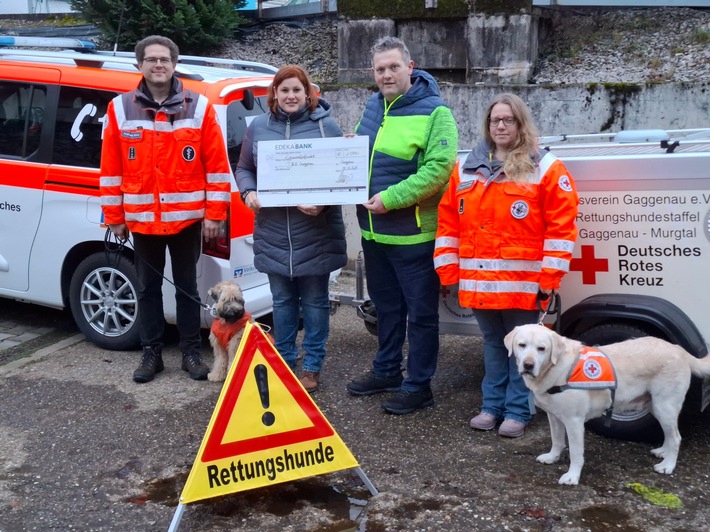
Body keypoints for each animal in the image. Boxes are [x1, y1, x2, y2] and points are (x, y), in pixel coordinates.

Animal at [504, 324, 710, 486]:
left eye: (542, 348)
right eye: (522, 345)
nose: (528, 365)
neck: (556, 369)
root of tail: (679, 349)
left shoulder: (574, 421)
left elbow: (576, 453)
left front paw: (572, 476)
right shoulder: (554, 416)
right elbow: (557, 441)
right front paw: (552, 457)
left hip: (664, 406)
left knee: (676, 437)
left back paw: (668, 465)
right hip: (656, 405)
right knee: (669, 434)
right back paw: (663, 452)